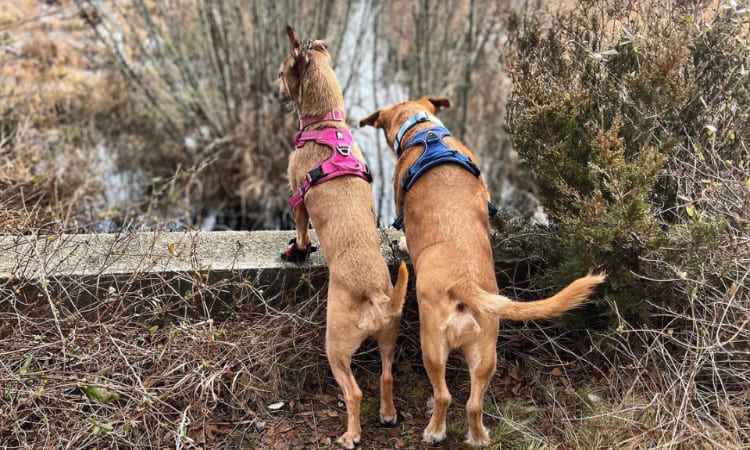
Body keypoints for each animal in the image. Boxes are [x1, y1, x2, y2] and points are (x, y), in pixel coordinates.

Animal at [276, 27, 408, 446]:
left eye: (282, 72)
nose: (274, 87)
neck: (326, 127)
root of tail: (377, 296)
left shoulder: (297, 197)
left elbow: (301, 230)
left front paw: (298, 251)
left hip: (335, 347)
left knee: (354, 392)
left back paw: (351, 434)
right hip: (388, 338)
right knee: (386, 375)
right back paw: (387, 414)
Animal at [362, 96, 608, 444]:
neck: (423, 131)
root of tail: (464, 282)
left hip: (432, 347)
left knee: (445, 396)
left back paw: (434, 431)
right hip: (485, 353)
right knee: (473, 404)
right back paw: (478, 437)